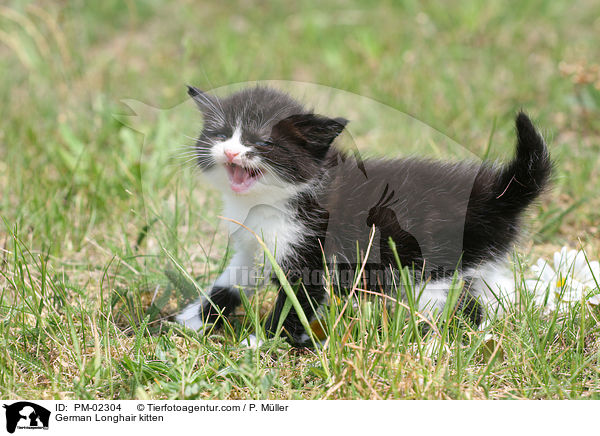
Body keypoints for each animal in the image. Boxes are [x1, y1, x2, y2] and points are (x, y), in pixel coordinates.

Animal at [176, 85, 552, 346]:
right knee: (486, 299)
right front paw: (189, 320)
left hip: (434, 268)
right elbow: (230, 281)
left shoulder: (310, 249)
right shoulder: (251, 247)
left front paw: (259, 343)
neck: (267, 201)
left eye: (264, 143)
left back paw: (428, 348)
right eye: (221, 134)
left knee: (455, 309)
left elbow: (296, 300)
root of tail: (495, 194)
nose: (230, 151)